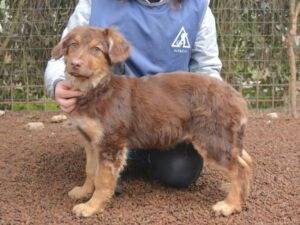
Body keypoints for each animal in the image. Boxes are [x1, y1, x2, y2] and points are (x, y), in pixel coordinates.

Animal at [52, 26, 253, 218]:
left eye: (96, 49)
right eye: (73, 45)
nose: (75, 64)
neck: (95, 89)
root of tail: (237, 97)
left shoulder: (110, 144)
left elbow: (102, 180)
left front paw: (91, 207)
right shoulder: (91, 142)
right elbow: (90, 171)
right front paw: (83, 192)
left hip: (212, 139)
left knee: (239, 169)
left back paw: (230, 205)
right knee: (244, 161)